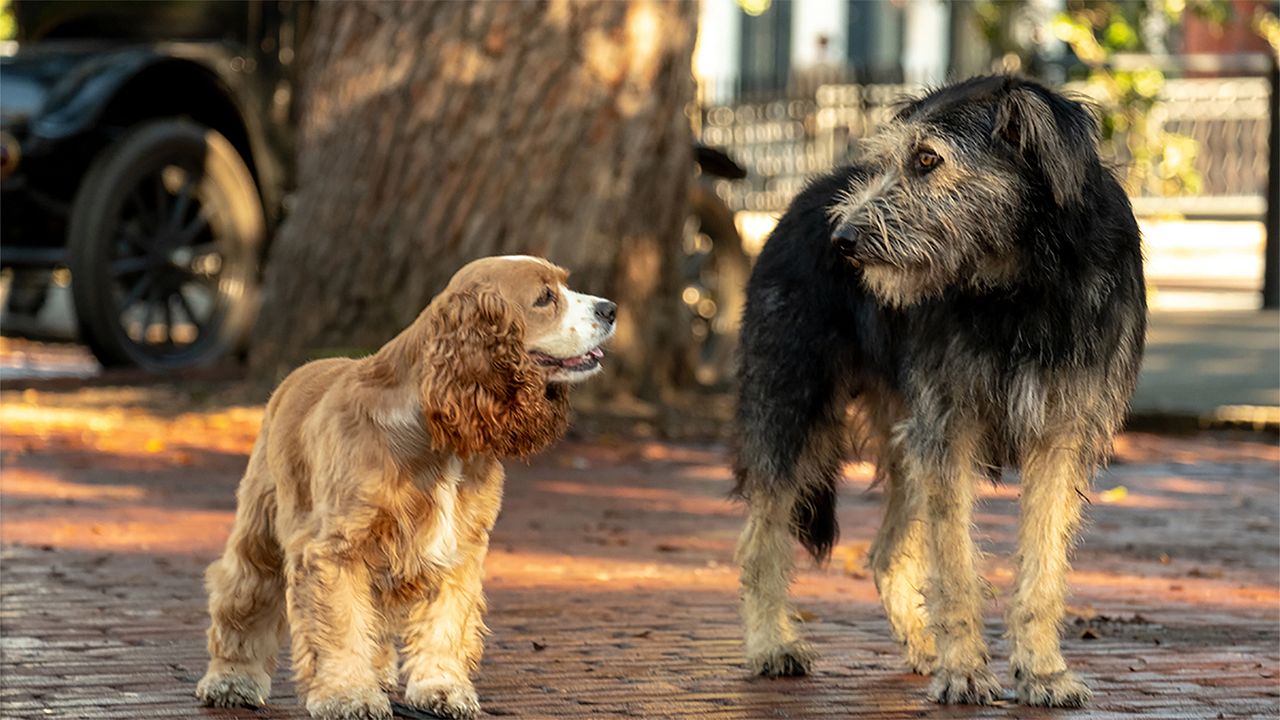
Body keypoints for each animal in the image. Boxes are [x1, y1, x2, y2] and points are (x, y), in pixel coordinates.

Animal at [737, 75, 1146, 702]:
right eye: (886, 162)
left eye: (927, 159)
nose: (842, 240)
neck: (1020, 285)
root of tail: (805, 198)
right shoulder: (948, 429)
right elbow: (954, 565)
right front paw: (964, 672)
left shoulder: (1061, 435)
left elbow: (1043, 566)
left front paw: (1042, 671)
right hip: (789, 409)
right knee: (762, 539)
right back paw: (771, 645)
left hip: (905, 440)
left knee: (884, 553)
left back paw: (922, 646)